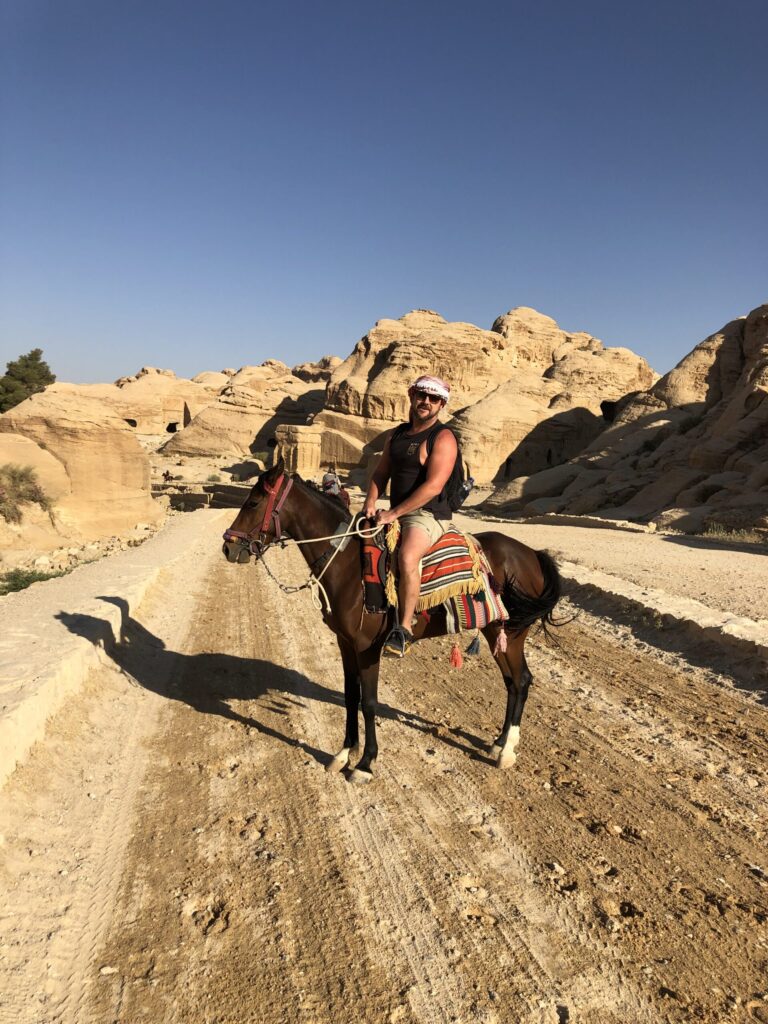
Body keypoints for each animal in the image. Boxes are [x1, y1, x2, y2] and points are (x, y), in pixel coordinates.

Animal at [225, 458, 561, 782]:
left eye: (253, 502)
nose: (228, 547)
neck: (348, 563)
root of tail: (531, 554)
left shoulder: (367, 648)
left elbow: (369, 703)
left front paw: (365, 763)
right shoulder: (345, 643)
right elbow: (351, 696)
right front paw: (344, 754)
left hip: (511, 632)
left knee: (521, 679)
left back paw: (507, 751)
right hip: (495, 632)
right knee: (512, 682)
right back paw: (499, 741)